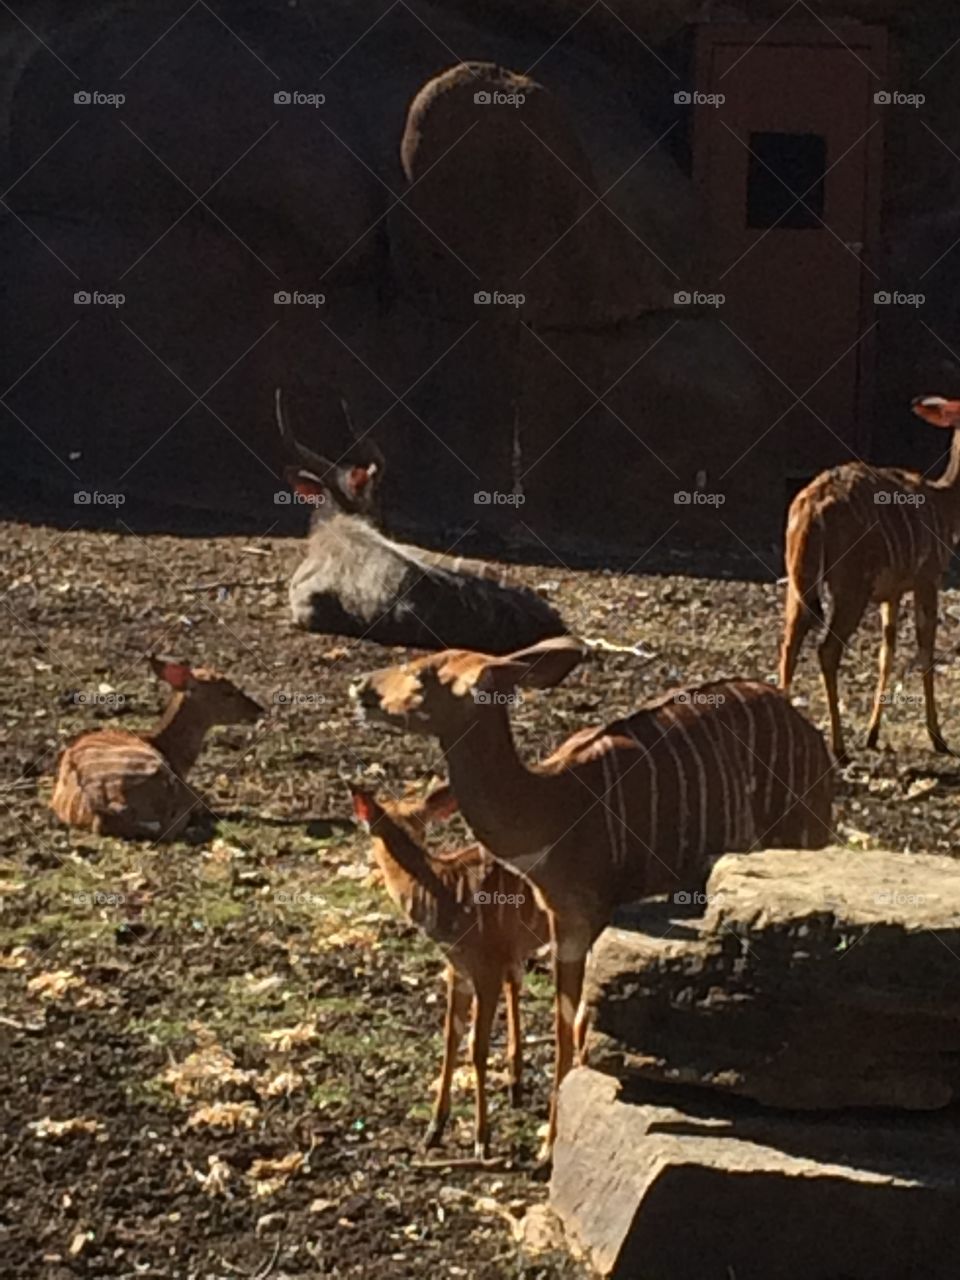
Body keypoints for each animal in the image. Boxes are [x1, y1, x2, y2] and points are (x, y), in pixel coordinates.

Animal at [350, 783, 549, 1158]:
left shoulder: (486, 966)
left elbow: (477, 1046)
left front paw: (482, 1140)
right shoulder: (458, 969)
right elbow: (449, 1036)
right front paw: (433, 1130)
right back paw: (516, 1086)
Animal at [780, 395, 960, 762]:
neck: (947, 501)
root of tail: (811, 507)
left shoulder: (892, 592)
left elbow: (886, 654)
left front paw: (873, 734)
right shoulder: (928, 577)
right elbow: (925, 648)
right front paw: (938, 738)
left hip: (799, 579)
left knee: (789, 642)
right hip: (850, 586)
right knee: (827, 649)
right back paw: (838, 748)